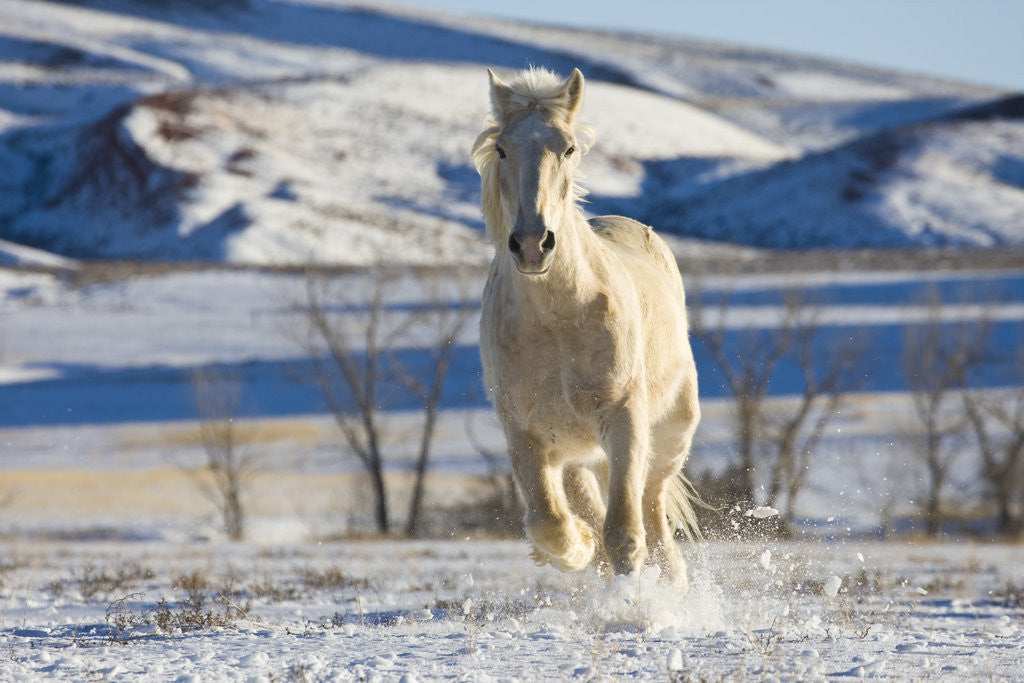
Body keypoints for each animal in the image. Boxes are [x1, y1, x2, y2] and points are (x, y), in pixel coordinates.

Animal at [473, 67, 701, 590]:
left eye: (569, 147)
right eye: (503, 149)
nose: (532, 244)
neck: (556, 323)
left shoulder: (623, 420)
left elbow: (624, 535)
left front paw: (634, 597)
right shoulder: (526, 436)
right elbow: (550, 524)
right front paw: (573, 549)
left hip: (667, 438)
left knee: (656, 518)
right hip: (579, 454)